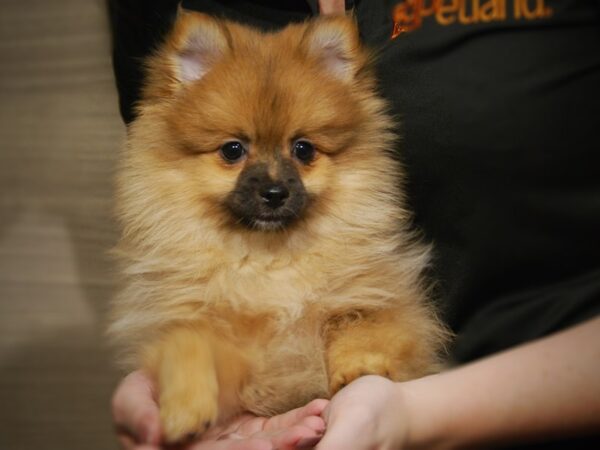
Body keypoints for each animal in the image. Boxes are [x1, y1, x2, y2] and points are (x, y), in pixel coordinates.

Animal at [108, 8, 448, 444]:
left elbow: (366, 324)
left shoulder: (383, 300)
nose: (274, 192)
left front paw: (359, 367)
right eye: (232, 150)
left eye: (303, 149)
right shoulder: (205, 327)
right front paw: (185, 407)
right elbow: (187, 345)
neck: (269, 259)